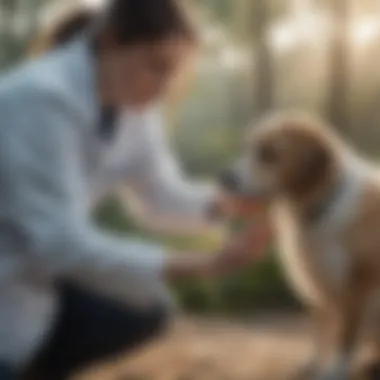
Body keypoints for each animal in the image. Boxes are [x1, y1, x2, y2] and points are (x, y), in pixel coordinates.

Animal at [220, 110, 380, 380]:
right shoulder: (319, 285)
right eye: (247, 147)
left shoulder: (356, 287)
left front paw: (336, 371)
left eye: (268, 154)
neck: (324, 203)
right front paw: (314, 363)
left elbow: (345, 337)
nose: (224, 178)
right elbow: (321, 329)